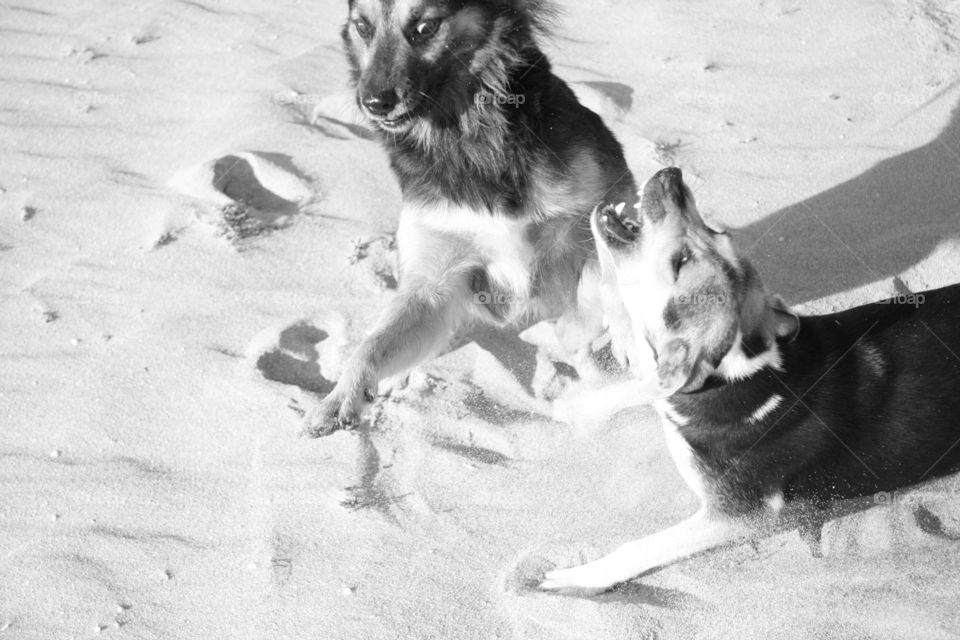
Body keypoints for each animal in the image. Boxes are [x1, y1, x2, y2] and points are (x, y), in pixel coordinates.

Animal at [304, 0, 636, 436]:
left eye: (426, 27)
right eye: (362, 26)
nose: (373, 102)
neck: (466, 137)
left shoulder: (607, 199)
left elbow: (607, 270)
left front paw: (621, 336)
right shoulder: (432, 281)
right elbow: (373, 345)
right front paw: (342, 395)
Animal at [540, 169, 960, 596]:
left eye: (680, 262)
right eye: (715, 230)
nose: (671, 175)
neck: (738, 373)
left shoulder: (741, 511)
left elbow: (642, 546)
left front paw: (580, 576)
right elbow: (642, 385)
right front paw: (578, 406)